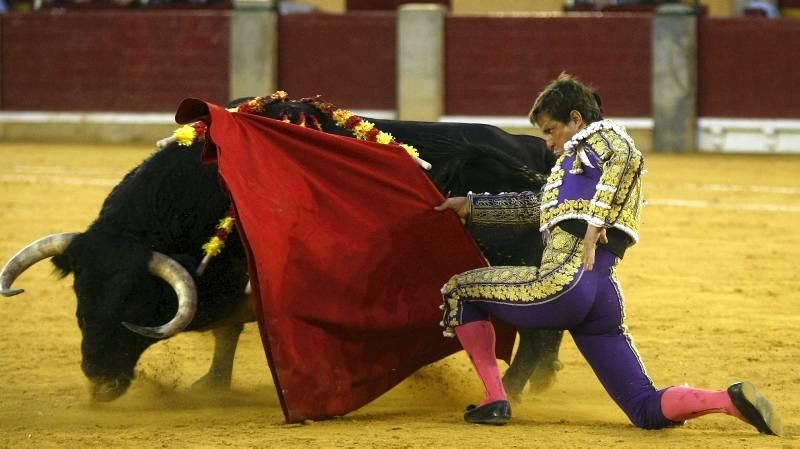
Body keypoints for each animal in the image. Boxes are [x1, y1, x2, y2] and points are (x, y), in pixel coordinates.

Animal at [0, 94, 564, 402]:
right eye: (80, 300)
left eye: (136, 302)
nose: (99, 379)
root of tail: (538, 154)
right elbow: (227, 331)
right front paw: (213, 384)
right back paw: (537, 384)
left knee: (540, 331)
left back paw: (512, 389)